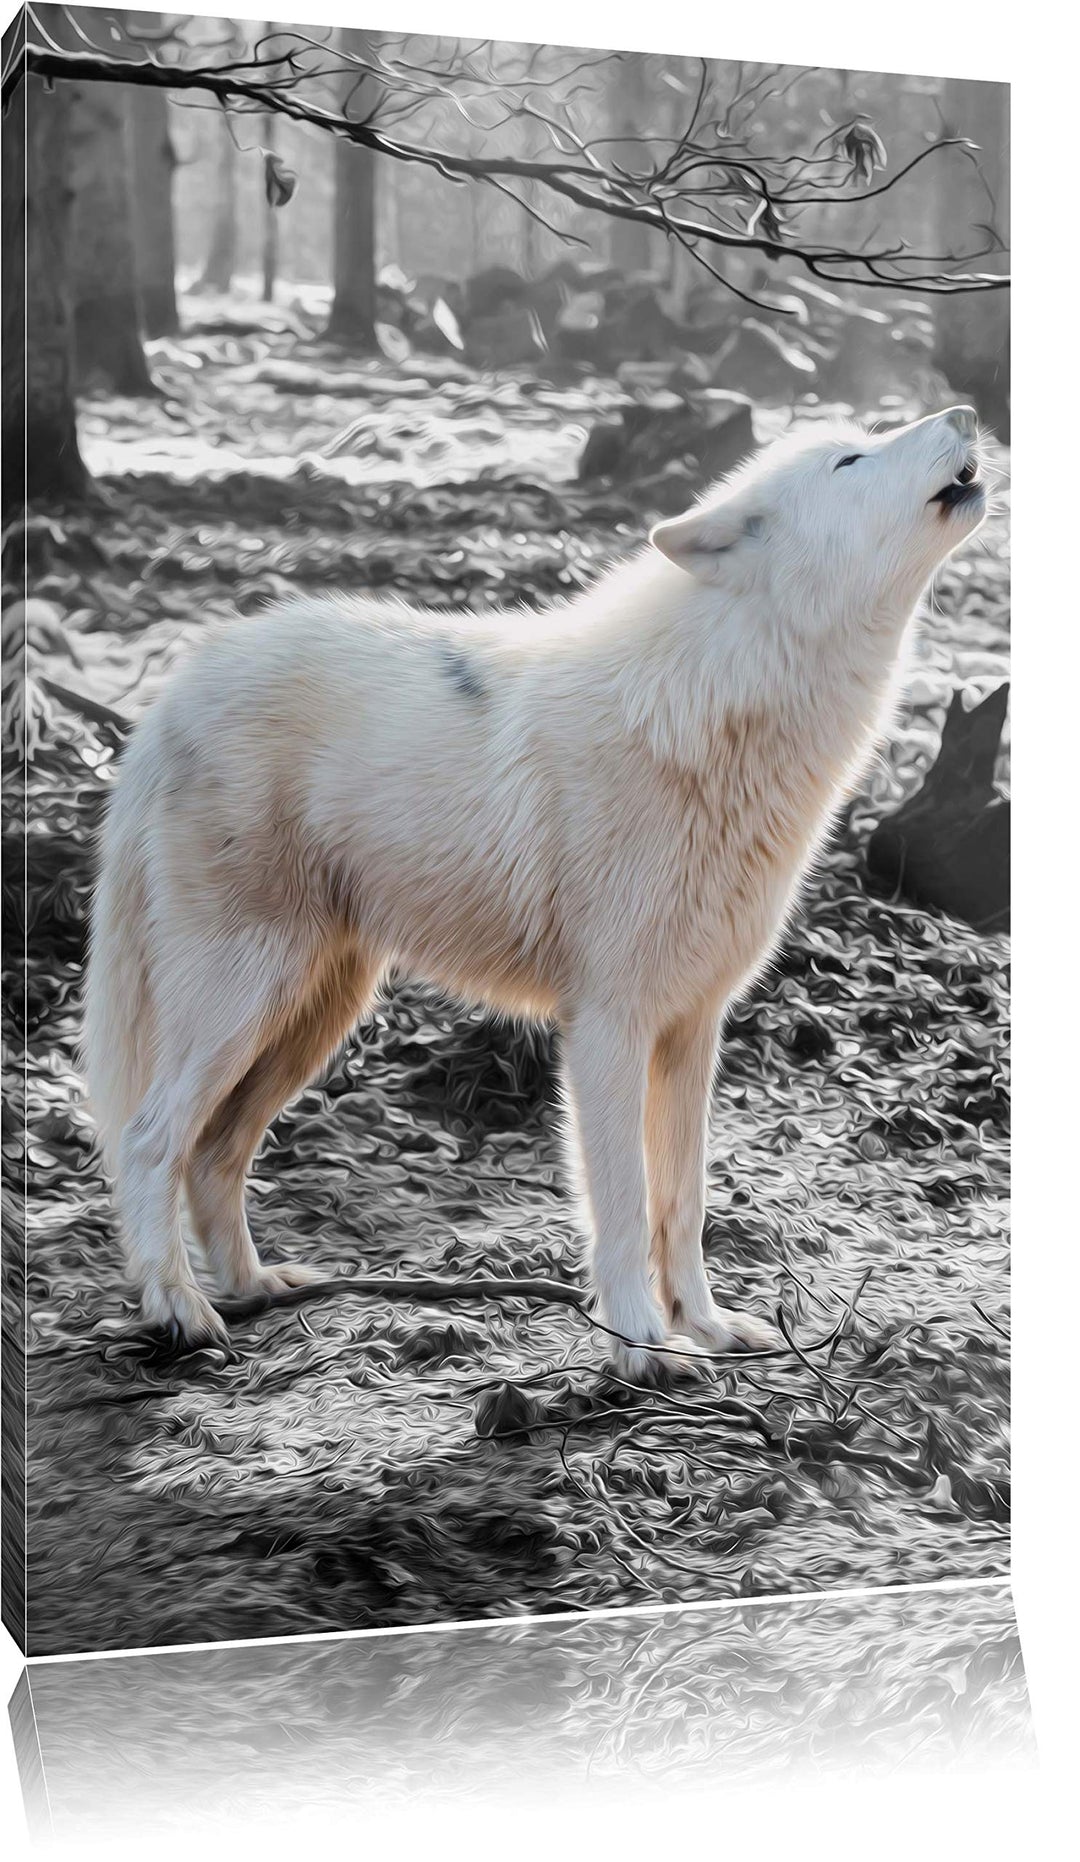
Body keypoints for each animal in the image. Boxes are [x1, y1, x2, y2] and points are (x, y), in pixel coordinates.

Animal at [84, 405, 986, 1379]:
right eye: (850, 460)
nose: (967, 414)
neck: (718, 704)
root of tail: (173, 694)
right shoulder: (606, 1027)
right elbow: (624, 1205)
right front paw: (642, 1347)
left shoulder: (693, 1030)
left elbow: (683, 1202)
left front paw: (705, 1327)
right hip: (245, 1002)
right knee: (148, 1139)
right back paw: (178, 1310)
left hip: (314, 1015)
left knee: (215, 1153)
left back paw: (254, 1286)